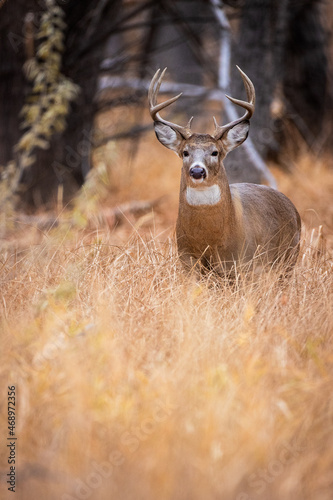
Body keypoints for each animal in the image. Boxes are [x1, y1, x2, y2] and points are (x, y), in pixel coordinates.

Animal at [148, 67, 300, 274]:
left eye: (215, 152)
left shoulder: (244, 261)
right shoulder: (186, 257)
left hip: (288, 258)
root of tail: (293, 208)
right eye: (185, 152)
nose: (197, 171)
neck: (210, 240)